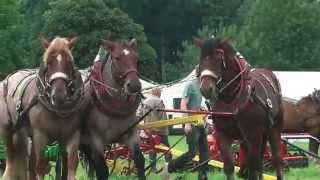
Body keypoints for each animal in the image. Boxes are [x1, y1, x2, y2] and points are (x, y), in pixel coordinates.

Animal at [0, 37, 85, 180]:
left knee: (30, 164)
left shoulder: (72, 135)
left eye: (70, 62)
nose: (59, 96)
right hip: (11, 130)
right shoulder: (40, 135)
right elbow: (40, 165)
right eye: (48, 63)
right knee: (12, 156)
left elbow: (71, 163)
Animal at [80, 38, 144, 179]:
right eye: (117, 58)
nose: (134, 85)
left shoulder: (131, 135)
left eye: (137, 59)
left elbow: (139, 160)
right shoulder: (96, 140)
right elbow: (102, 170)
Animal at [194, 37, 284, 180]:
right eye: (201, 60)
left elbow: (253, 168)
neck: (232, 98)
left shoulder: (254, 135)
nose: (206, 89)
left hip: (273, 128)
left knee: (275, 159)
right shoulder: (222, 134)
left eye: (218, 59)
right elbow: (229, 166)